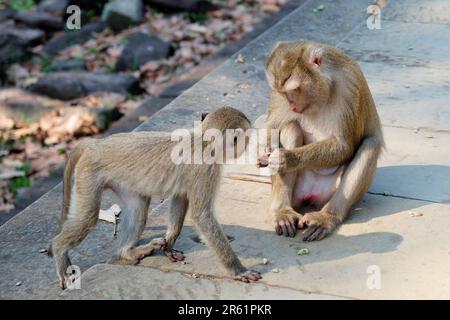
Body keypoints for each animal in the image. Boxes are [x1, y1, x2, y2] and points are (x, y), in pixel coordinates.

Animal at [48, 107, 260, 288]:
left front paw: (169, 244)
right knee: (87, 218)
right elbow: (202, 216)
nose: (249, 143)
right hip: (88, 173)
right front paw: (237, 270)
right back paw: (59, 250)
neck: (204, 141)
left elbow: (180, 198)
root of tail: (95, 144)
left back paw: (126, 252)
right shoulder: (207, 170)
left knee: (138, 209)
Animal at [260, 40, 384, 240]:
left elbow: (344, 146)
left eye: (295, 89)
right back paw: (283, 211)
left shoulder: (350, 86)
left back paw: (327, 216)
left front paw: (287, 158)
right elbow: (273, 124)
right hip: (297, 192)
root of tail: (312, 194)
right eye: (283, 93)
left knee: (370, 145)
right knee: (291, 126)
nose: (291, 105)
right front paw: (265, 151)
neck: (325, 88)